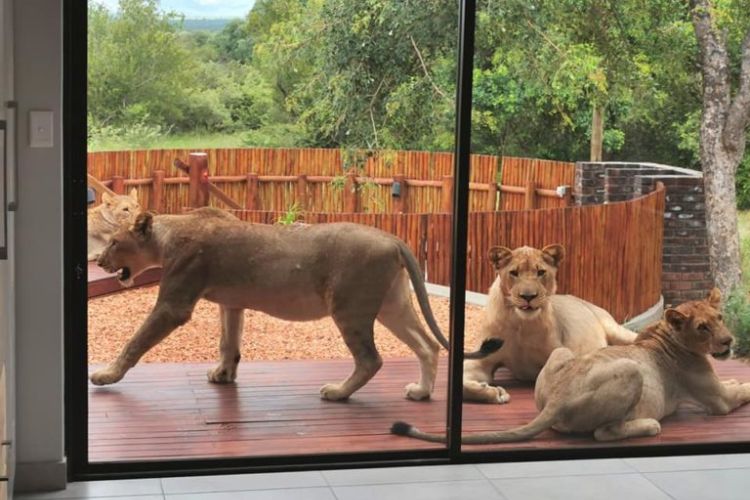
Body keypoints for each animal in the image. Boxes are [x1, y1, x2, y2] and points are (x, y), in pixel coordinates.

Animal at [90, 208, 500, 401]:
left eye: (114, 242)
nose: (100, 261)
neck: (166, 235)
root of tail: (393, 238)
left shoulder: (174, 304)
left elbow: (135, 342)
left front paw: (106, 375)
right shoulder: (232, 304)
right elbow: (228, 342)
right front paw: (223, 375)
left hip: (350, 308)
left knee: (371, 359)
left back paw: (337, 393)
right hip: (391, 306)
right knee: (427, 345)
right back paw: (421, 392)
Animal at [393, 288, 750, 443]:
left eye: (720, 318)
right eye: (702, 327)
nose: (729, 341)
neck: (666, 335)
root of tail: (557, 400)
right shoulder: (718, 400)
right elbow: (742, 389)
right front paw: (741, 382)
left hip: (561, 352)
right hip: (631, 371)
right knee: (604, 433)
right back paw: (649, 425)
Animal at [462, 244, 638, 404]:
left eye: (541, 272)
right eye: (514, 273)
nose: (528, 296)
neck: (521, 325)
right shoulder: (482, 359)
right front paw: (493, 392)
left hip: (616, 330)